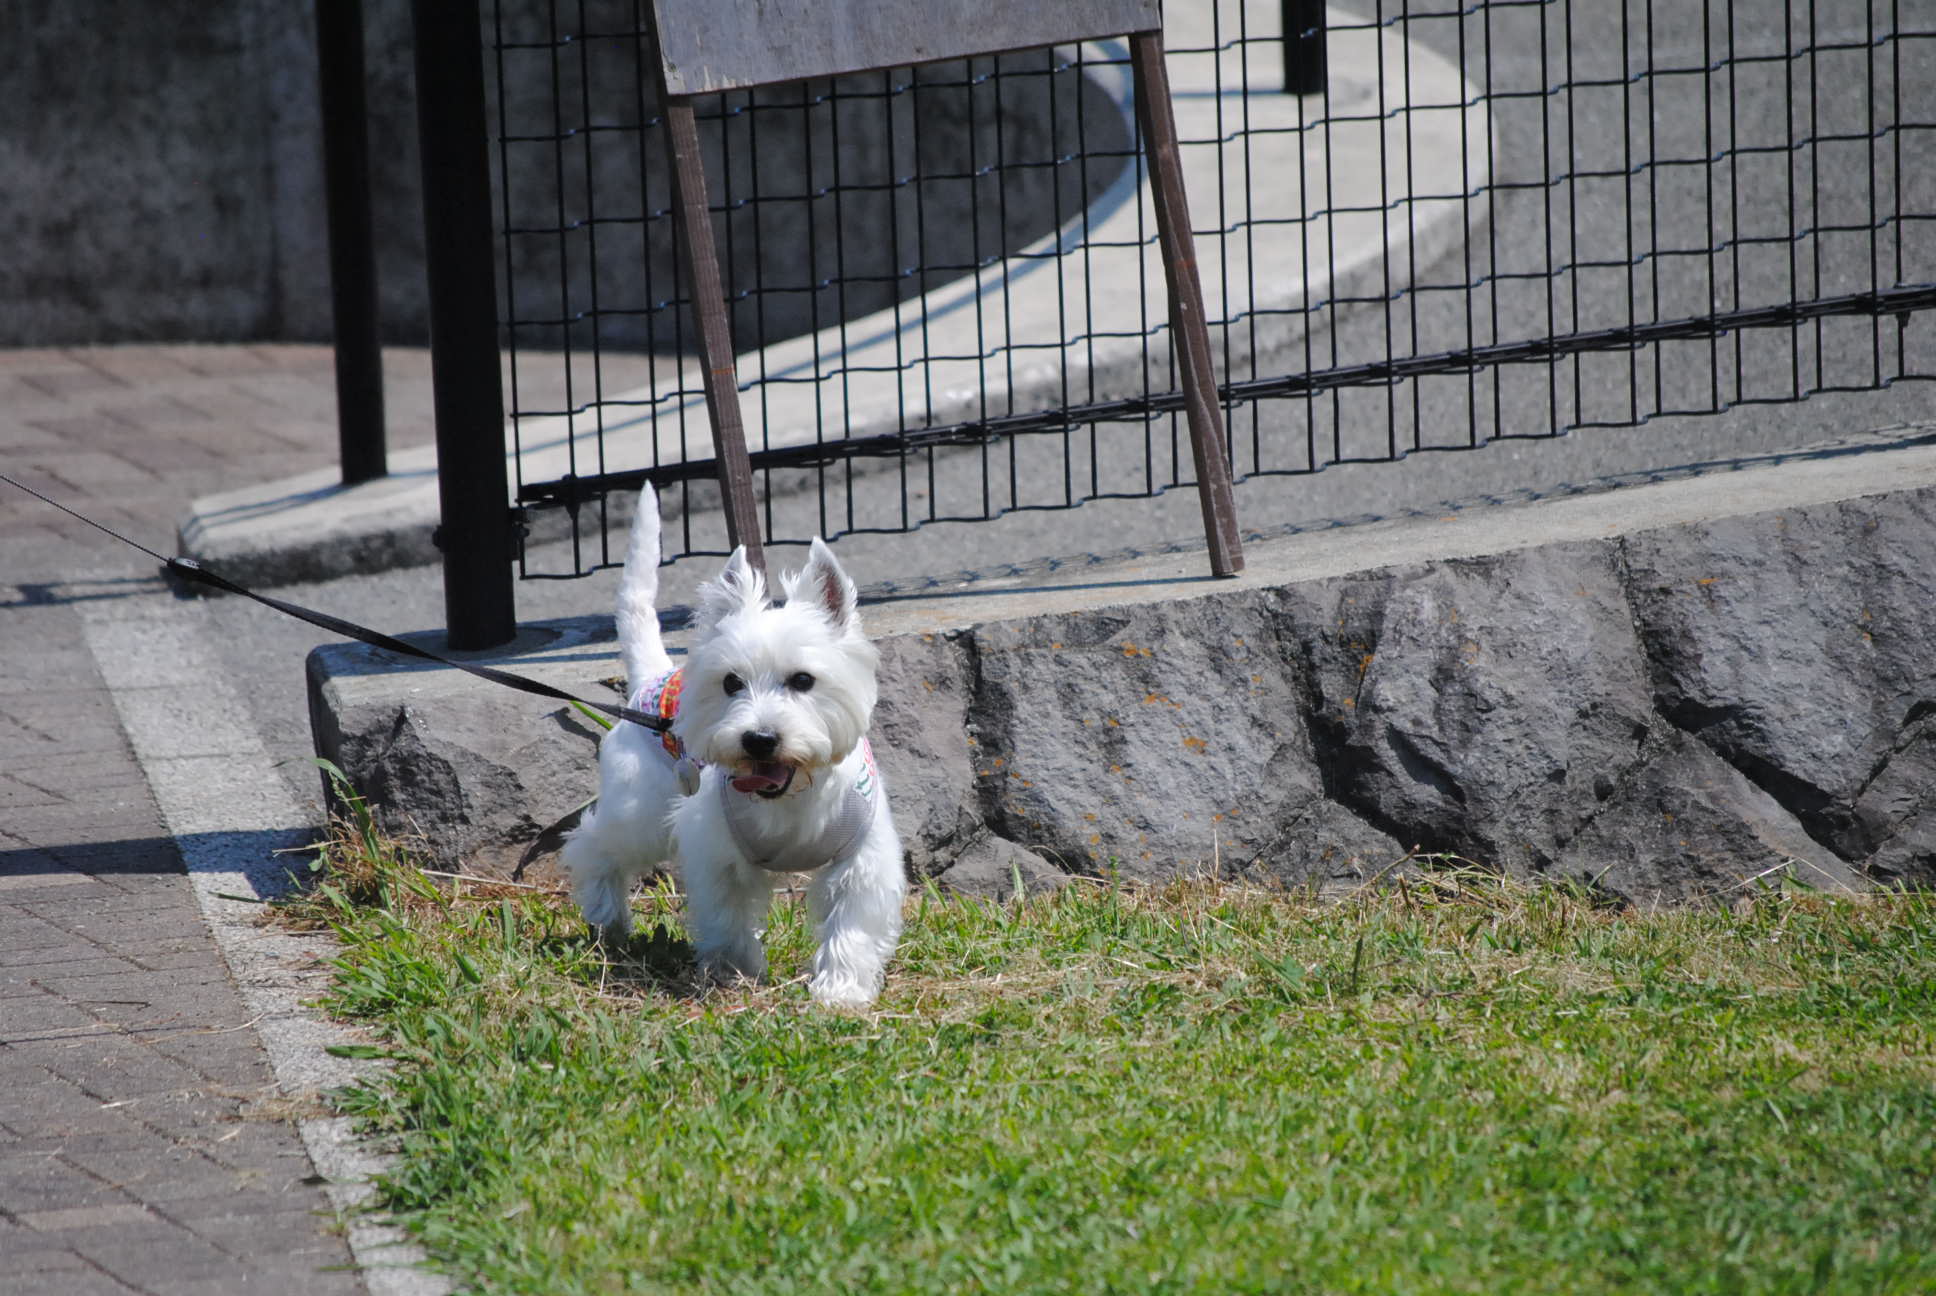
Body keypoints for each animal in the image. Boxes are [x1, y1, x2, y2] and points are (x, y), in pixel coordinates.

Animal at [561, 484, 906, 999]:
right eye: (730, 683)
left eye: (803, 680)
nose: (759, 739)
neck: (790, 799)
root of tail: (650, 680)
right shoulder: (717, 850)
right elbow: (726, 917)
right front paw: (734, 973)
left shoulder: (861, 859)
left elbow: (851, 927)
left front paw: (840, 990)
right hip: (641, 813)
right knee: (595, 845)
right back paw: (608, 920)